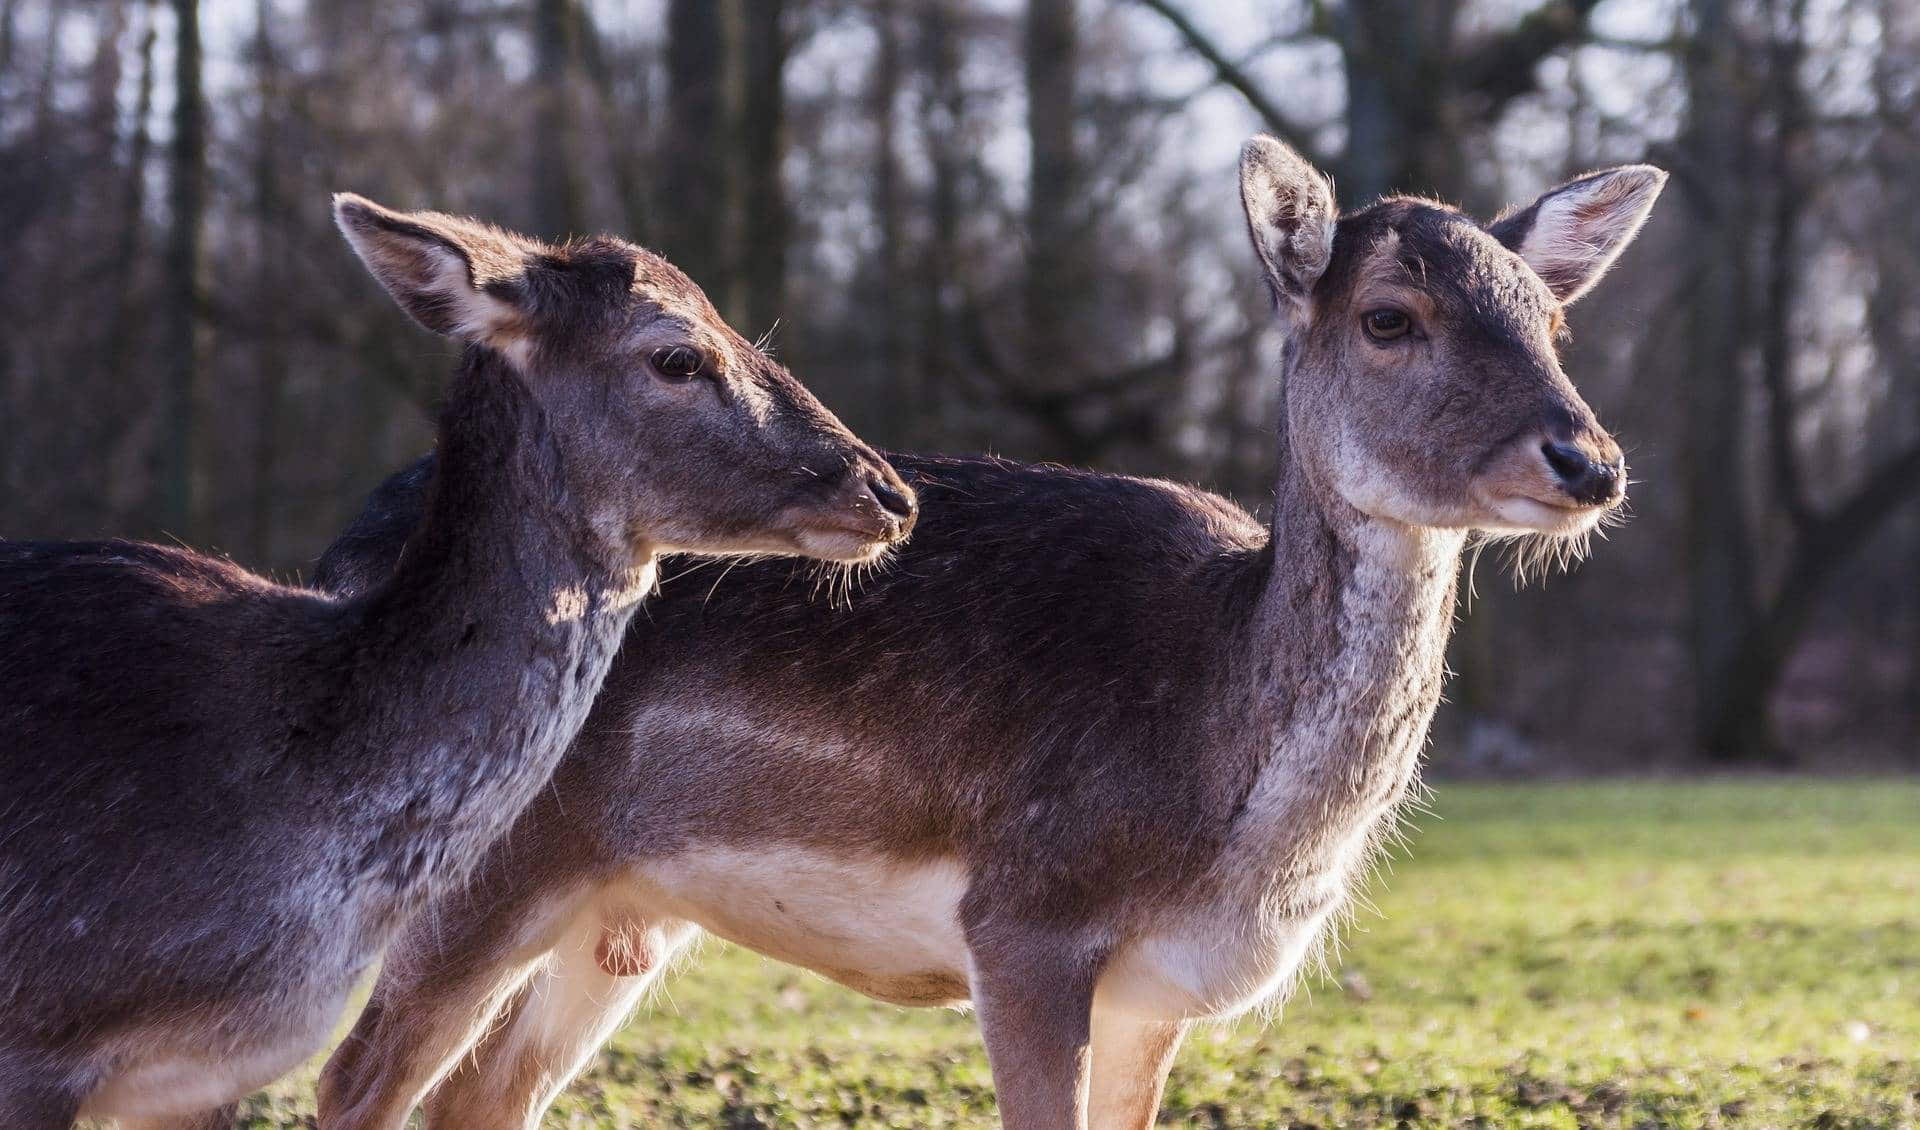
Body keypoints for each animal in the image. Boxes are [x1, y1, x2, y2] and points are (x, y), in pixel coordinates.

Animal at [314, 141, 1666, 1128]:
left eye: (1554, 321)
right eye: (1389, 317)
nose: (1588, 460)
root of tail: (349, 564)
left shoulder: (1157, 995)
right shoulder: (1025, 920)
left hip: (620, 916)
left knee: (477, 1097)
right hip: (482, 866)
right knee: (356, 1080)